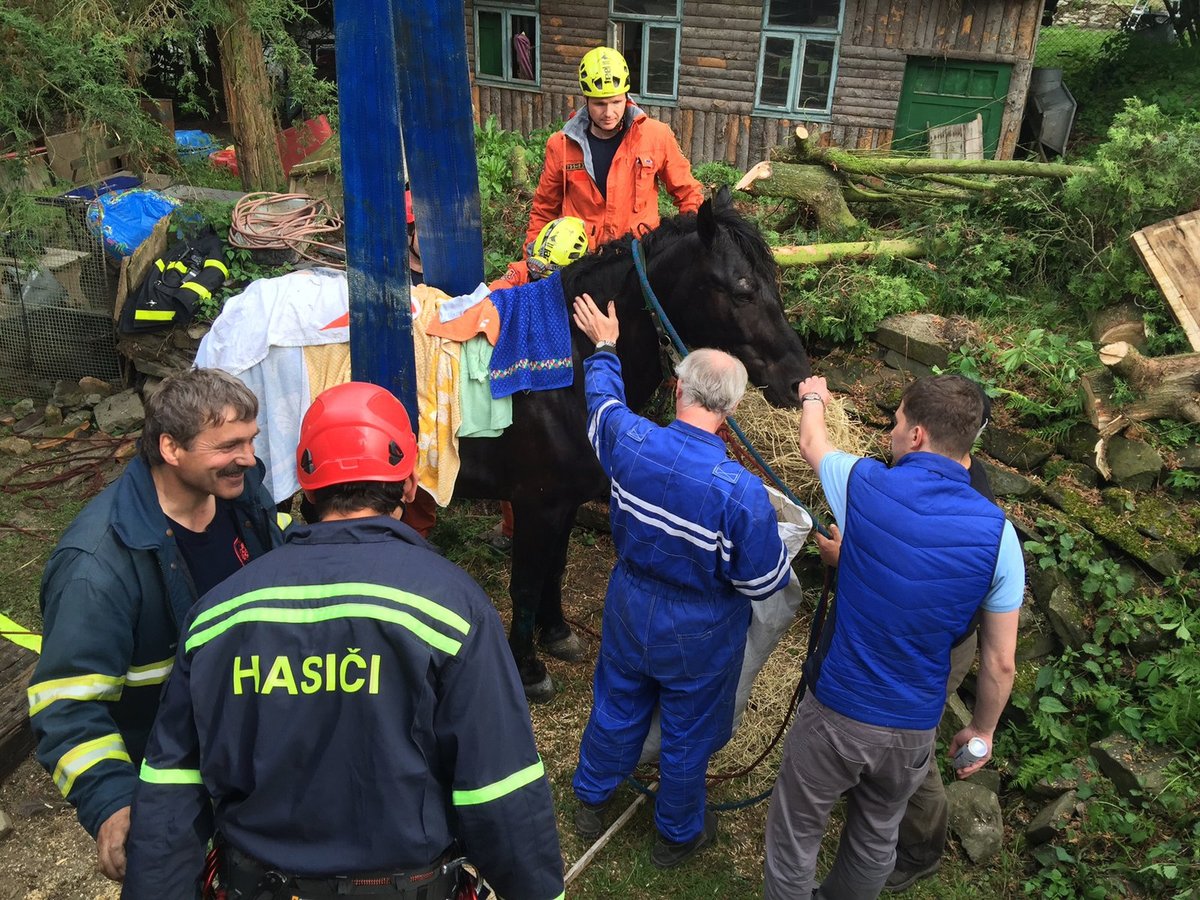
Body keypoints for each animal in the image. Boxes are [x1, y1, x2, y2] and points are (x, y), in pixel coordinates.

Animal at [453, 187, 811, 700]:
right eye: (743, 290)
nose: (799, 382)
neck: (567, 369)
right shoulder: (536, 506)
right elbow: (524, 585)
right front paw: (528, 668)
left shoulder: (562, 504)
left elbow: (555, 568)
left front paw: (556, 632)